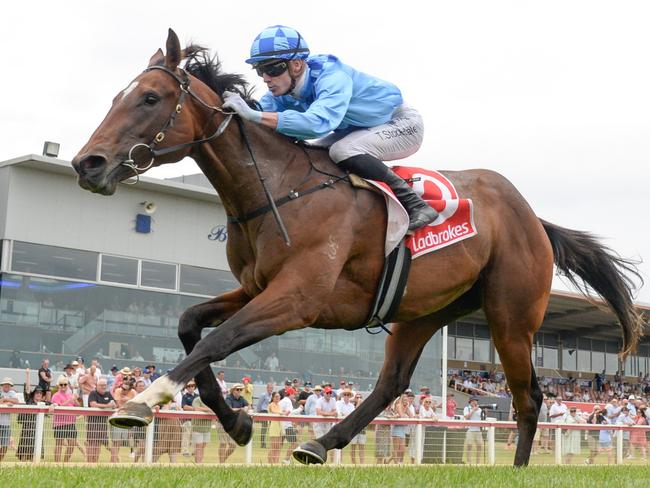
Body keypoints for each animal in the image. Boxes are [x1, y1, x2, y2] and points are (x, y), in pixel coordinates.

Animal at [69, 30, 636, 466]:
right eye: (117, 97)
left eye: (149, 98)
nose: (87, 164)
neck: (278, 188)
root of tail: (533, 217)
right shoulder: (256, 288)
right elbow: (191, 327)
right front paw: (238, 422)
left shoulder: (297, 299)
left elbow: (218, 340)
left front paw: (144, 400)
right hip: (423, 311)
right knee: (393, 383)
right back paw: (320, 443)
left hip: (510, 317)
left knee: (528, 396)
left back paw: (516, 468)